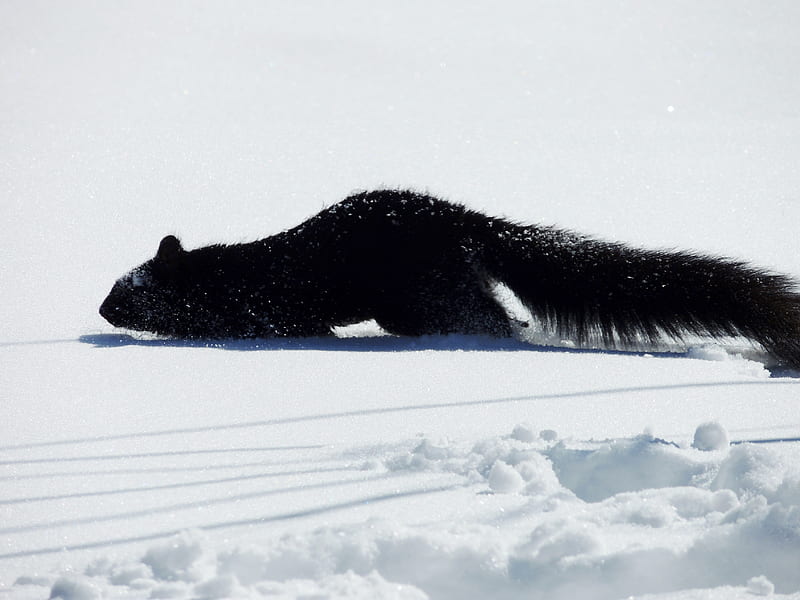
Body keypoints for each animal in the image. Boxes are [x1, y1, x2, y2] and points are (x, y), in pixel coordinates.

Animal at [100, 189, 800, 366]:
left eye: (126, 291)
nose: (102, 311)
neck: (223, 274)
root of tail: (463, 219)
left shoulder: (260, 308)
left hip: (423, 296)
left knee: (492, 318)